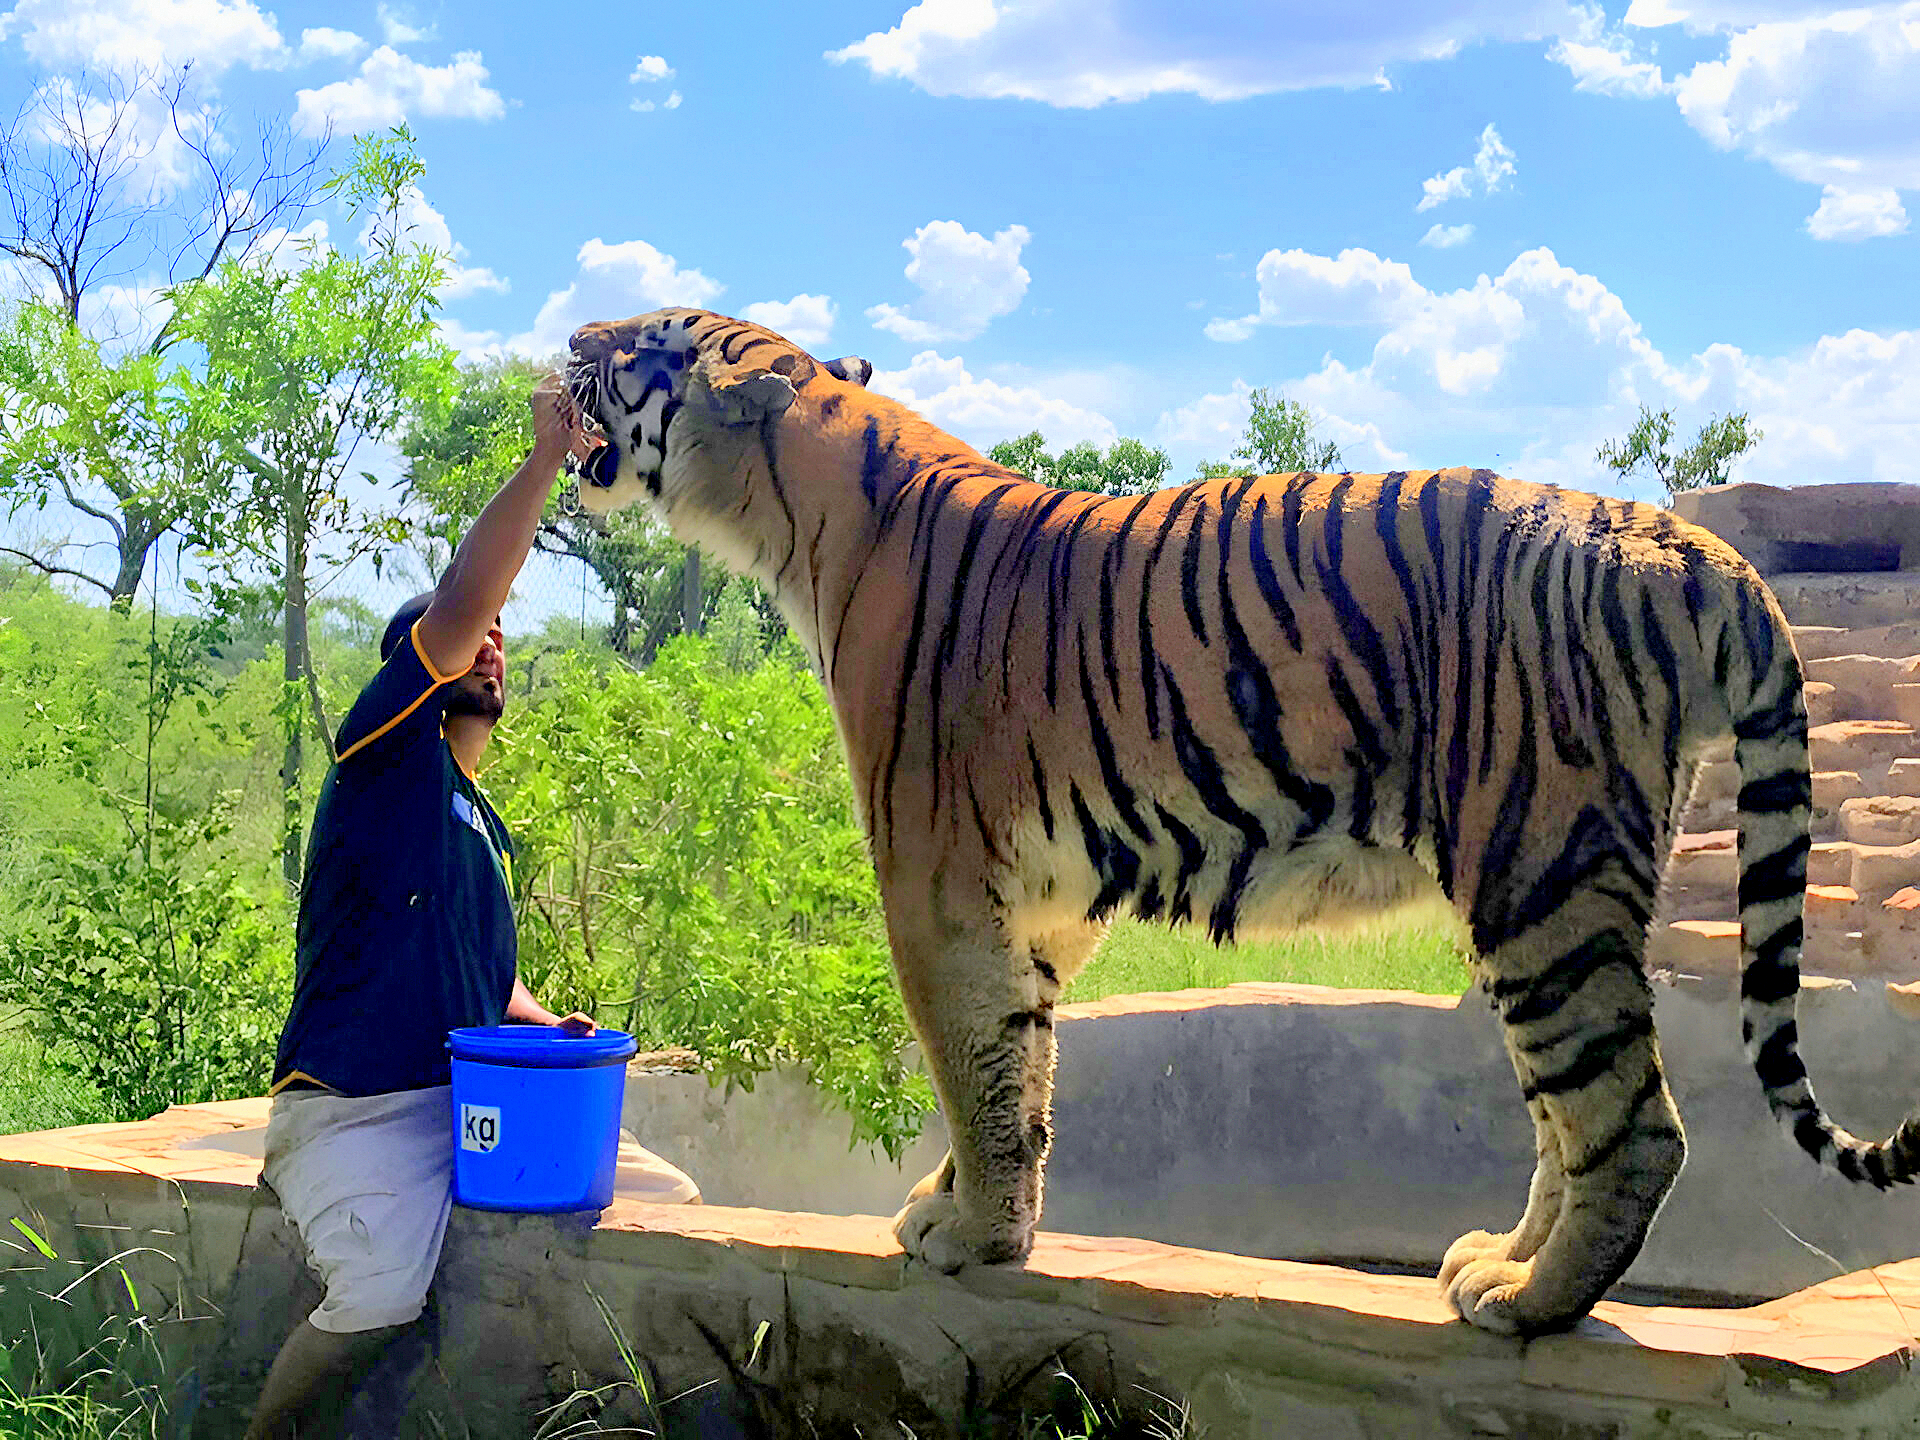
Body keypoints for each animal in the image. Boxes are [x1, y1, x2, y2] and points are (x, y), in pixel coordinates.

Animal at [562, 306, 1920, 1337]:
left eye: (637, 340)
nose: (569, 332)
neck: (805, 516)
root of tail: (1691, 545)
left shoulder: (936, 879)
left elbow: (967, 1063)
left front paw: (970, 1232)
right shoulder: (1042, 901)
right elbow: (1021, 1063)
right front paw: (978, 1213)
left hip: (1538, 864)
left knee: (1630, 1119)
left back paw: (1533, 1304)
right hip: (1549, 885)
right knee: (1565, 1112)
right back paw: (1496, 1260)